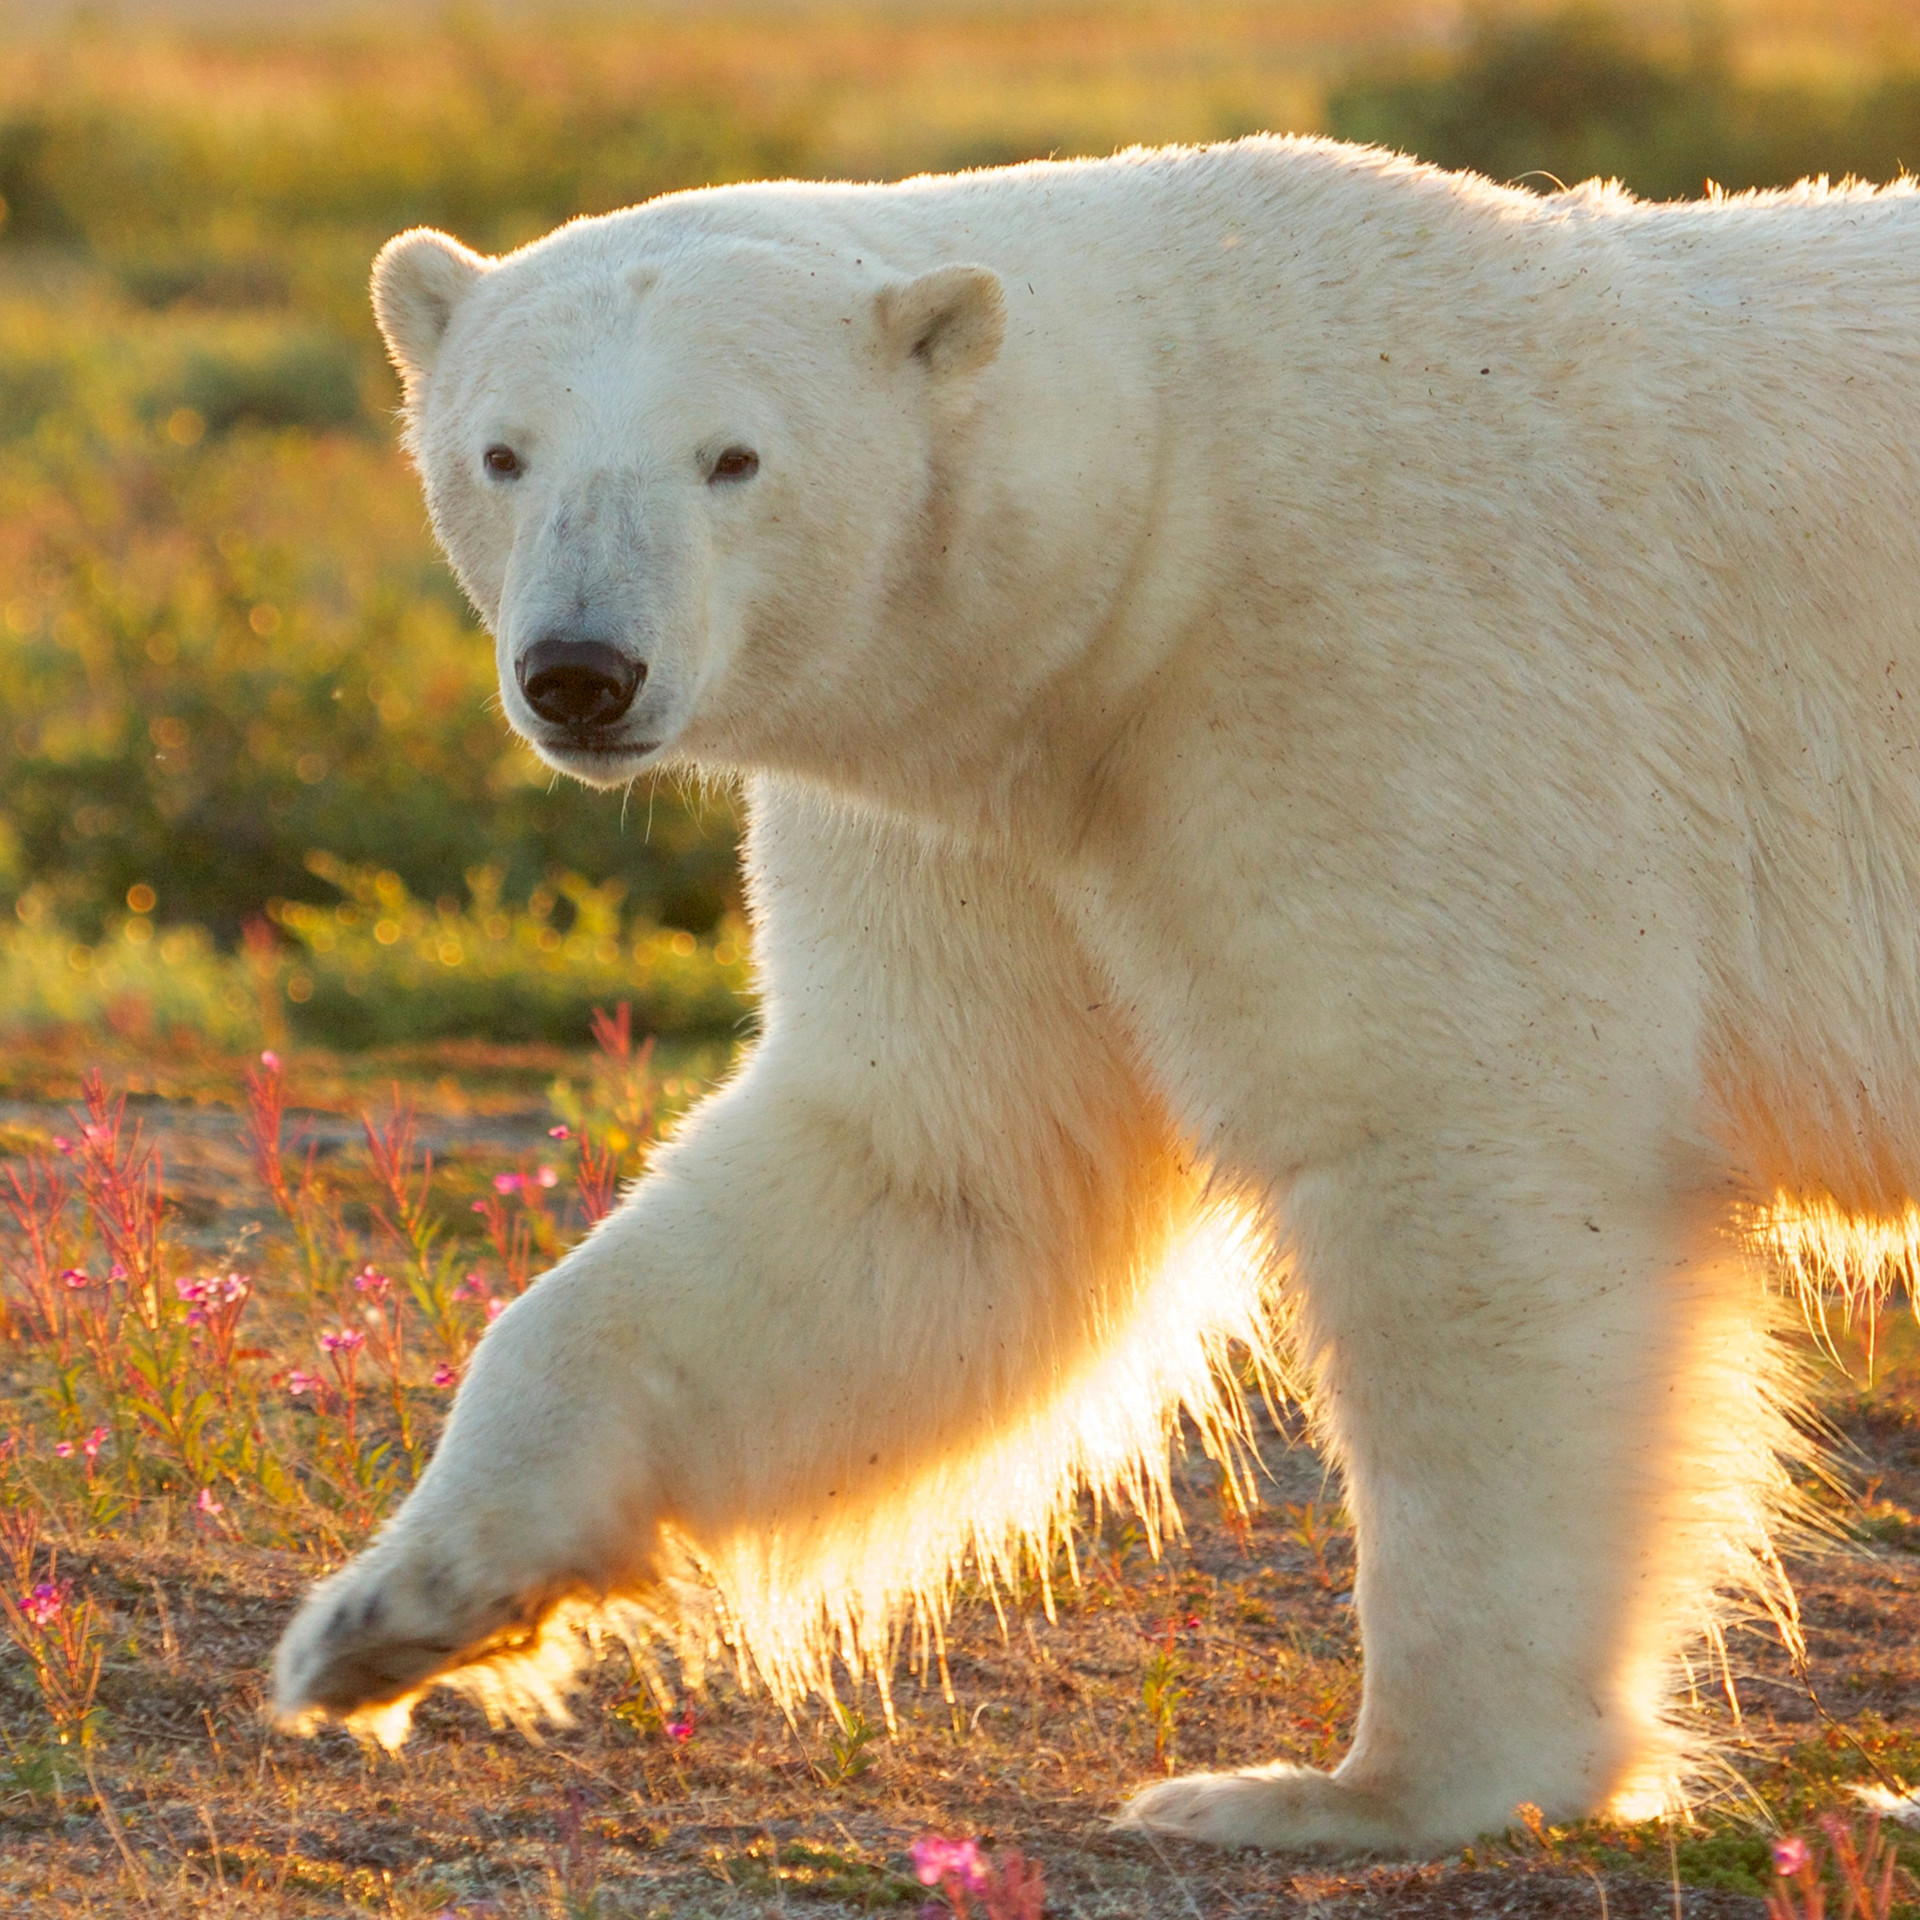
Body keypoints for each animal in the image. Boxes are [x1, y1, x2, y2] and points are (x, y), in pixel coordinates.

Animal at [272, 134, 1920, 1854]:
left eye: (732, 457)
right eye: (502, 454)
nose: (583, 672)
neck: (1179, 502)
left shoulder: (1386, 677)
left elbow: (1463, 1169)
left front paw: (1349, 1789)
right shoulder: (1008, 809)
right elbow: (939, 1177)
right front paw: (384, 1621)